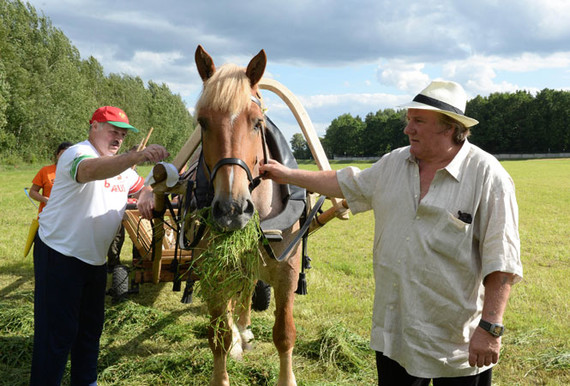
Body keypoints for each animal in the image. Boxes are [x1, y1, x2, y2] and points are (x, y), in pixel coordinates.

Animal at [190, 46, 302, 386]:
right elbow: (219, 337)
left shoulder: (287, 272)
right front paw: (224, 368)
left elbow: (284, 333)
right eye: (202, 122)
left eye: (257, 122)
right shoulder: (213, 273)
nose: (232, 210)